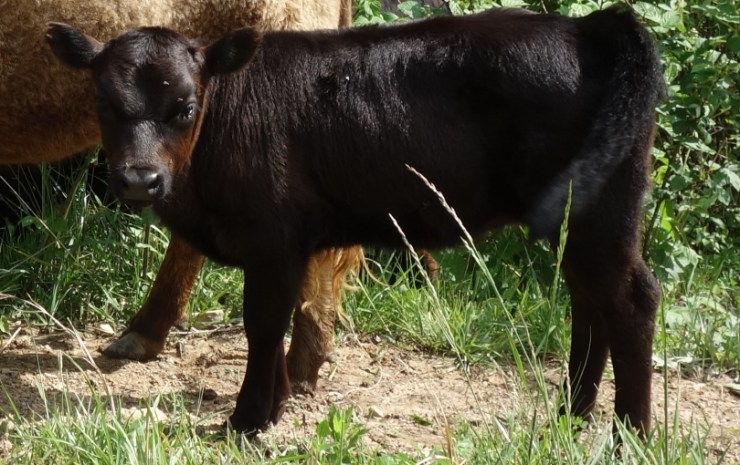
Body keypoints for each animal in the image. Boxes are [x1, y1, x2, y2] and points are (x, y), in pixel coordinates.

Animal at [47, 5, 664, 435]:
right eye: (103, 103)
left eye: (185, 108)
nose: (139, 179)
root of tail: (592, 27)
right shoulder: (293, 242)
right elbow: (288, 316)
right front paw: (273, 407)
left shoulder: (274, 238)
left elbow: (263, 324)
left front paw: (248, 420)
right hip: (576, 218)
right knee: (588, 302)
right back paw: (572, 412)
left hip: (602, 212)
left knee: (630, 299)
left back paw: (628, 434)